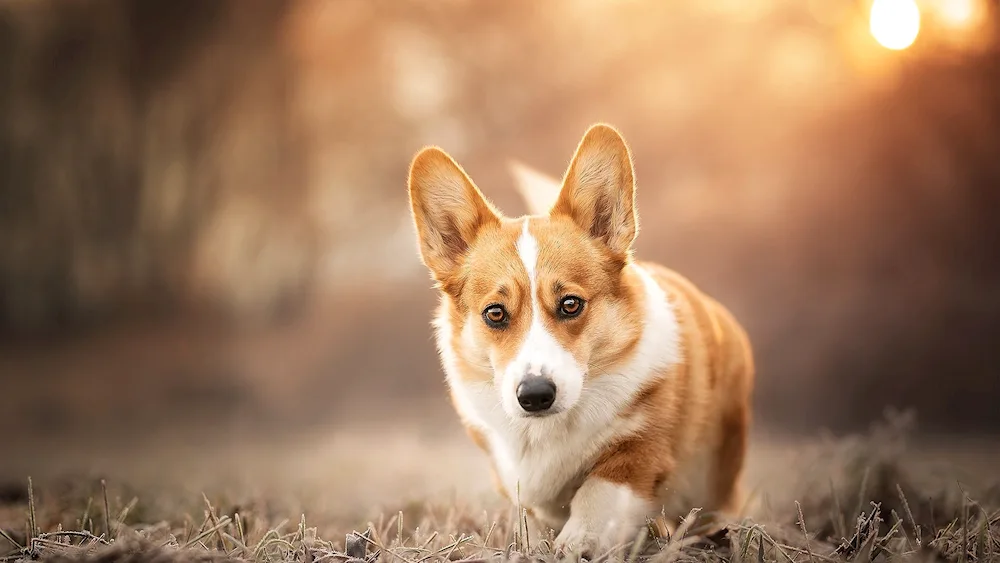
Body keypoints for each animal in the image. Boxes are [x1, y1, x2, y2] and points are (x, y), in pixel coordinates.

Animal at [404, 124, 752, 556]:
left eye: (570, 304)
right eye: (495, 313)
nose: (535, 395)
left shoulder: (638, 451)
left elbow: (597, 494)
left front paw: (575, 543)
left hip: (716, 469)